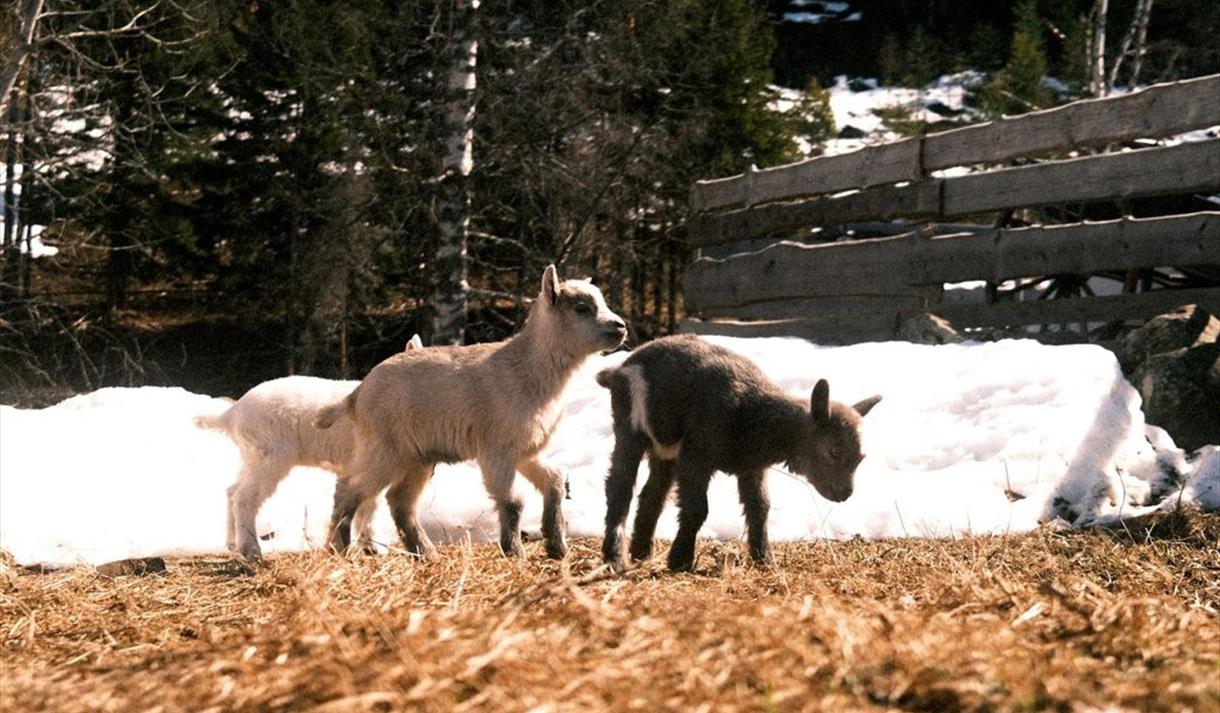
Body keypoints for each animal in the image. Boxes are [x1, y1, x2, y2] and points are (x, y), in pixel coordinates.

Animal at [198, 335, 424, 560]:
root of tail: (232, 414)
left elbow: (369, 504)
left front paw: (372, 547)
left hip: (251, 456)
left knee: (232, 490)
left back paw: (232, 544)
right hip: (269, 456)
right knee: (245, 497)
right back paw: (252, 550)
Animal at [318, 265, 627, 559]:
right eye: (581, 308)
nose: (621, 327)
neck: (526, 369)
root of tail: (356, 396)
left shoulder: (526, 450)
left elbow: (555, 482)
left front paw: (557, 547)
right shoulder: (496, 449)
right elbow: (514, 500)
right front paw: (514, 550)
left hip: (417, 458)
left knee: (399, 501)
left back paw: (425, 552)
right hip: (387, 450)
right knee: (349, 487)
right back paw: (342, 547)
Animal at [596, 334, 881, 572]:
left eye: (861, 459)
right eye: (833, 451)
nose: (844, 494)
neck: (751, 413)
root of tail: (618, 369)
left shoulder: (752, 467)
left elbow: (760, 509)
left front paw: (764, 560)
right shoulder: (695, 457)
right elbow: (698, 509)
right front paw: (680, 561)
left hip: (664, 451)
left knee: (652, 494)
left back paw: (641, 553)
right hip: (630, 427)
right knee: (619, 488)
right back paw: (615, 558)